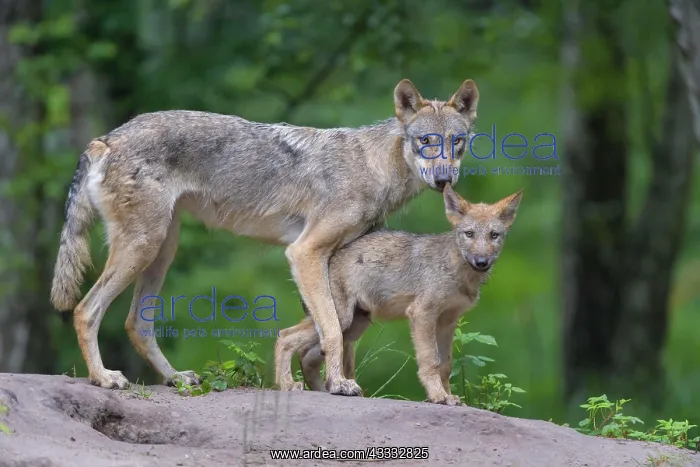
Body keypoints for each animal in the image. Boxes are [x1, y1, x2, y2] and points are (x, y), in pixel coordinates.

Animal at [50, 78, 479, 392]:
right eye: (425, 142)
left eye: (456, 142)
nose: (445, 180)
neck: (374, 168)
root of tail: (105, 138)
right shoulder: (305, 252)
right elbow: (332, 332)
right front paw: (339, 384)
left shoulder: (332, 260)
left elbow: (332, 336)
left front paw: (328, 382)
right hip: (143, 248)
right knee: (85, 310)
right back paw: (103, 378)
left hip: (161, 251)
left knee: (136, 324)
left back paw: (176, 379)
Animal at [274, 184, 522, 404]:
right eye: (469, 234)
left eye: (494, 235)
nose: (481, 261)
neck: (457, 272)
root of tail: (328, 256)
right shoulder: (422, 314)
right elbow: (431, 361)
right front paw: (438, 396)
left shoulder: (448, 321)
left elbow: (446, 364)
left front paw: (449, 396)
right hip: (342, 321)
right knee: (285, 336)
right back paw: (288, 385)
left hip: (354, 327)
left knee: (307, 355)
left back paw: (331, 389)